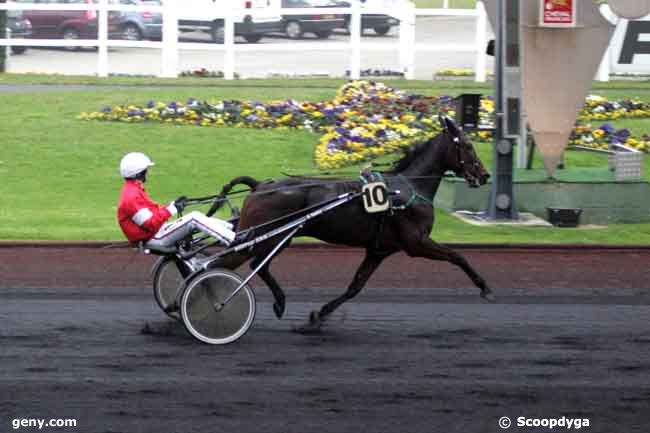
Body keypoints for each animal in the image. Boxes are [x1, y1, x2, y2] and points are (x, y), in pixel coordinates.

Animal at [210, 115, 488, 334]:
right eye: (468, 145)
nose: (485, 175)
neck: (408, 188)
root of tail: (260, 185)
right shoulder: (416, 243)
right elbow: (457, 256)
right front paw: (484, 287)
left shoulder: (379, 250)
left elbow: (355, 286)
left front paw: (316, 317)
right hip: (268, 236)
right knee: (242, 264)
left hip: (268, 237)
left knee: (245, 264)